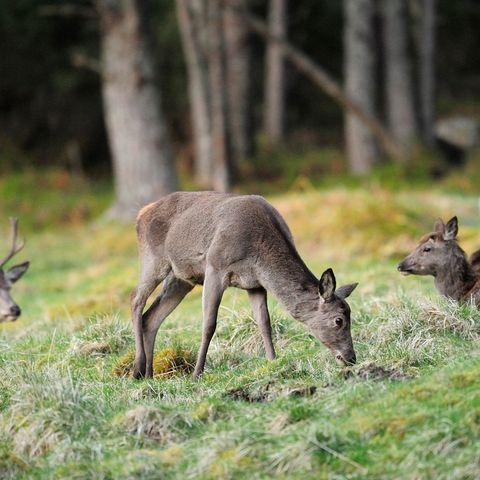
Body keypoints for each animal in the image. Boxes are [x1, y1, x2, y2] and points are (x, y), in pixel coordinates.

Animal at [130, 191, 356, 378]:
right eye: (338, 320)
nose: (351, 358)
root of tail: (141, 213)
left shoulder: (255, 284)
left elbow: (264, 323)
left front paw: (273, 362)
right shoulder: (215, 267)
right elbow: (209, 324)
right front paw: (197, 373)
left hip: (181, 278)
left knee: (151, 317)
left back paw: (150, 375)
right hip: (153, 259)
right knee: (136, 300)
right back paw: (137, 369)